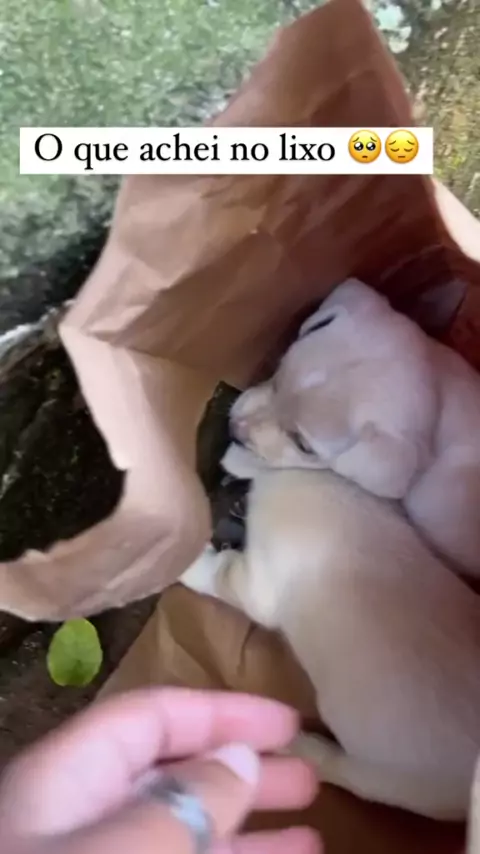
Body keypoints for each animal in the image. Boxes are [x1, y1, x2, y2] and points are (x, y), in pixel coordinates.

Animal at [181, 441, 480, 820]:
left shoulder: (256, 585)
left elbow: (218, 572)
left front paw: (189, 564)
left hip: (388, 778)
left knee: (336, 768)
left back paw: (298, 745)